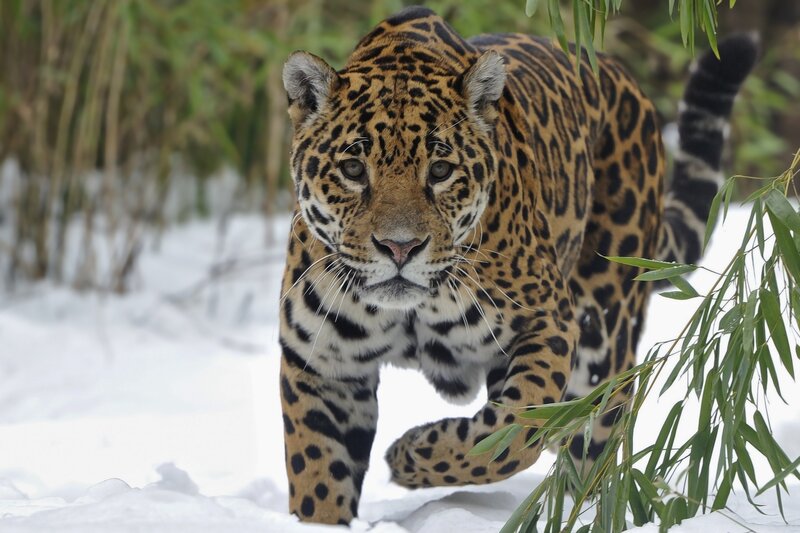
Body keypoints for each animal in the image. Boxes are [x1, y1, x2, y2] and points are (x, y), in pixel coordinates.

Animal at [278, 6, 757, 525]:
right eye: (352, 169)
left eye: (440, 171)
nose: (400, 248)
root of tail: (623, 77)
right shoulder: (322, 364)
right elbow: (317, 473)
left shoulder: (548, 322)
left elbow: (509, 434)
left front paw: (410, 454)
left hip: (601, 339)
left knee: (594, 443)